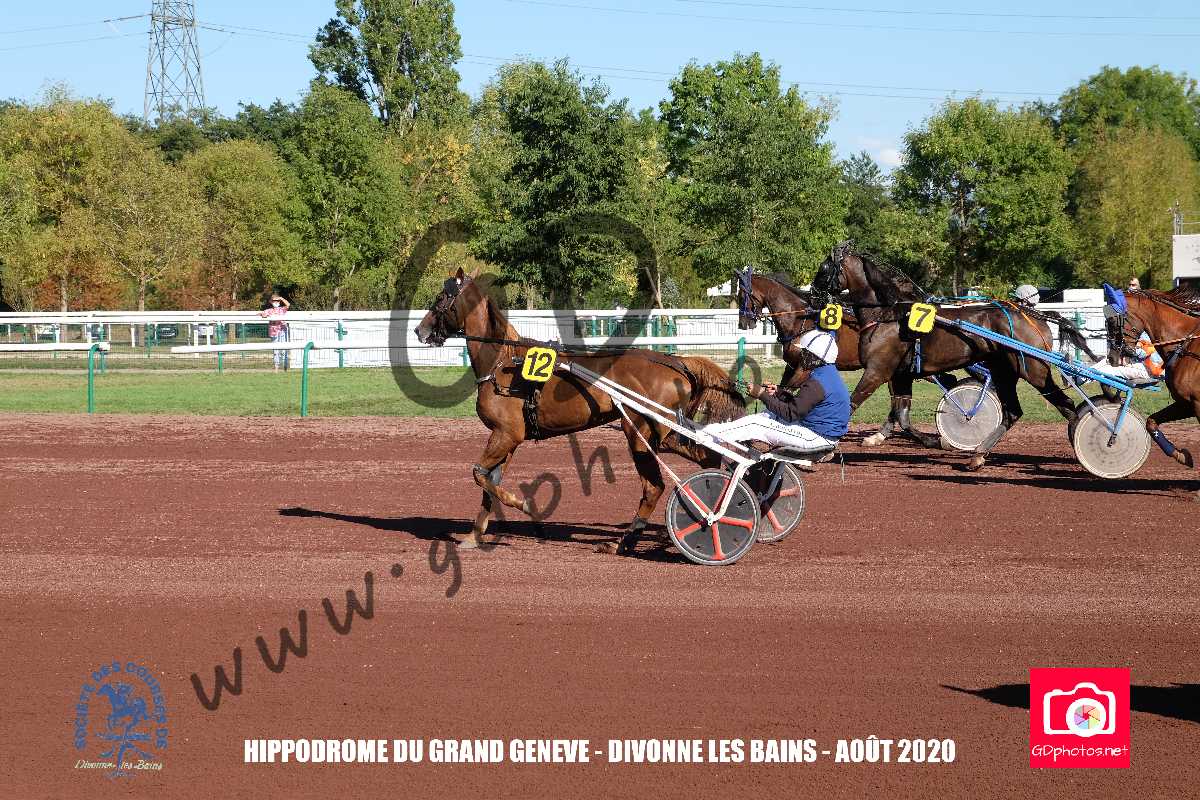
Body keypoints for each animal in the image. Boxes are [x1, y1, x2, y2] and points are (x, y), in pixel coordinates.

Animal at [415, 269, 748, 555]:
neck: (503, 363)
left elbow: (479, 474)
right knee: (707, 456)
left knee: (654, 487)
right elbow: (488, 483)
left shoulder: (507, 434)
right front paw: (473, 536)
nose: (420, 329)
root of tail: (675, 362)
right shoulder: (506, 438)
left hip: (640, 433)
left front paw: (524, 505)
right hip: (660, 436)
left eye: (441, 298)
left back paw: (628, 541)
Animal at [811, 241, 1098, 470]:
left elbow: (851, 405)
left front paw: (825, 450)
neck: (886, 315)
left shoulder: (876, 371)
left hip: (1033, 369)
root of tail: (1032, 315)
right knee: (1013, 412)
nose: (812, 294)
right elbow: (902, 417)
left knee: (1066, 404)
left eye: (823, 268)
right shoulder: (901, 375)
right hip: (1003, 371)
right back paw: (978, 455)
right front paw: (936, 441)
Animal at [1112, 287, 1200, 469]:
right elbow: (1150, 422)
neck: (1186, 346)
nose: (1111, 357)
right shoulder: (1187, 403)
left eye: (1112, 321)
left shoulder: (1198, 403)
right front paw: (1182, 456)